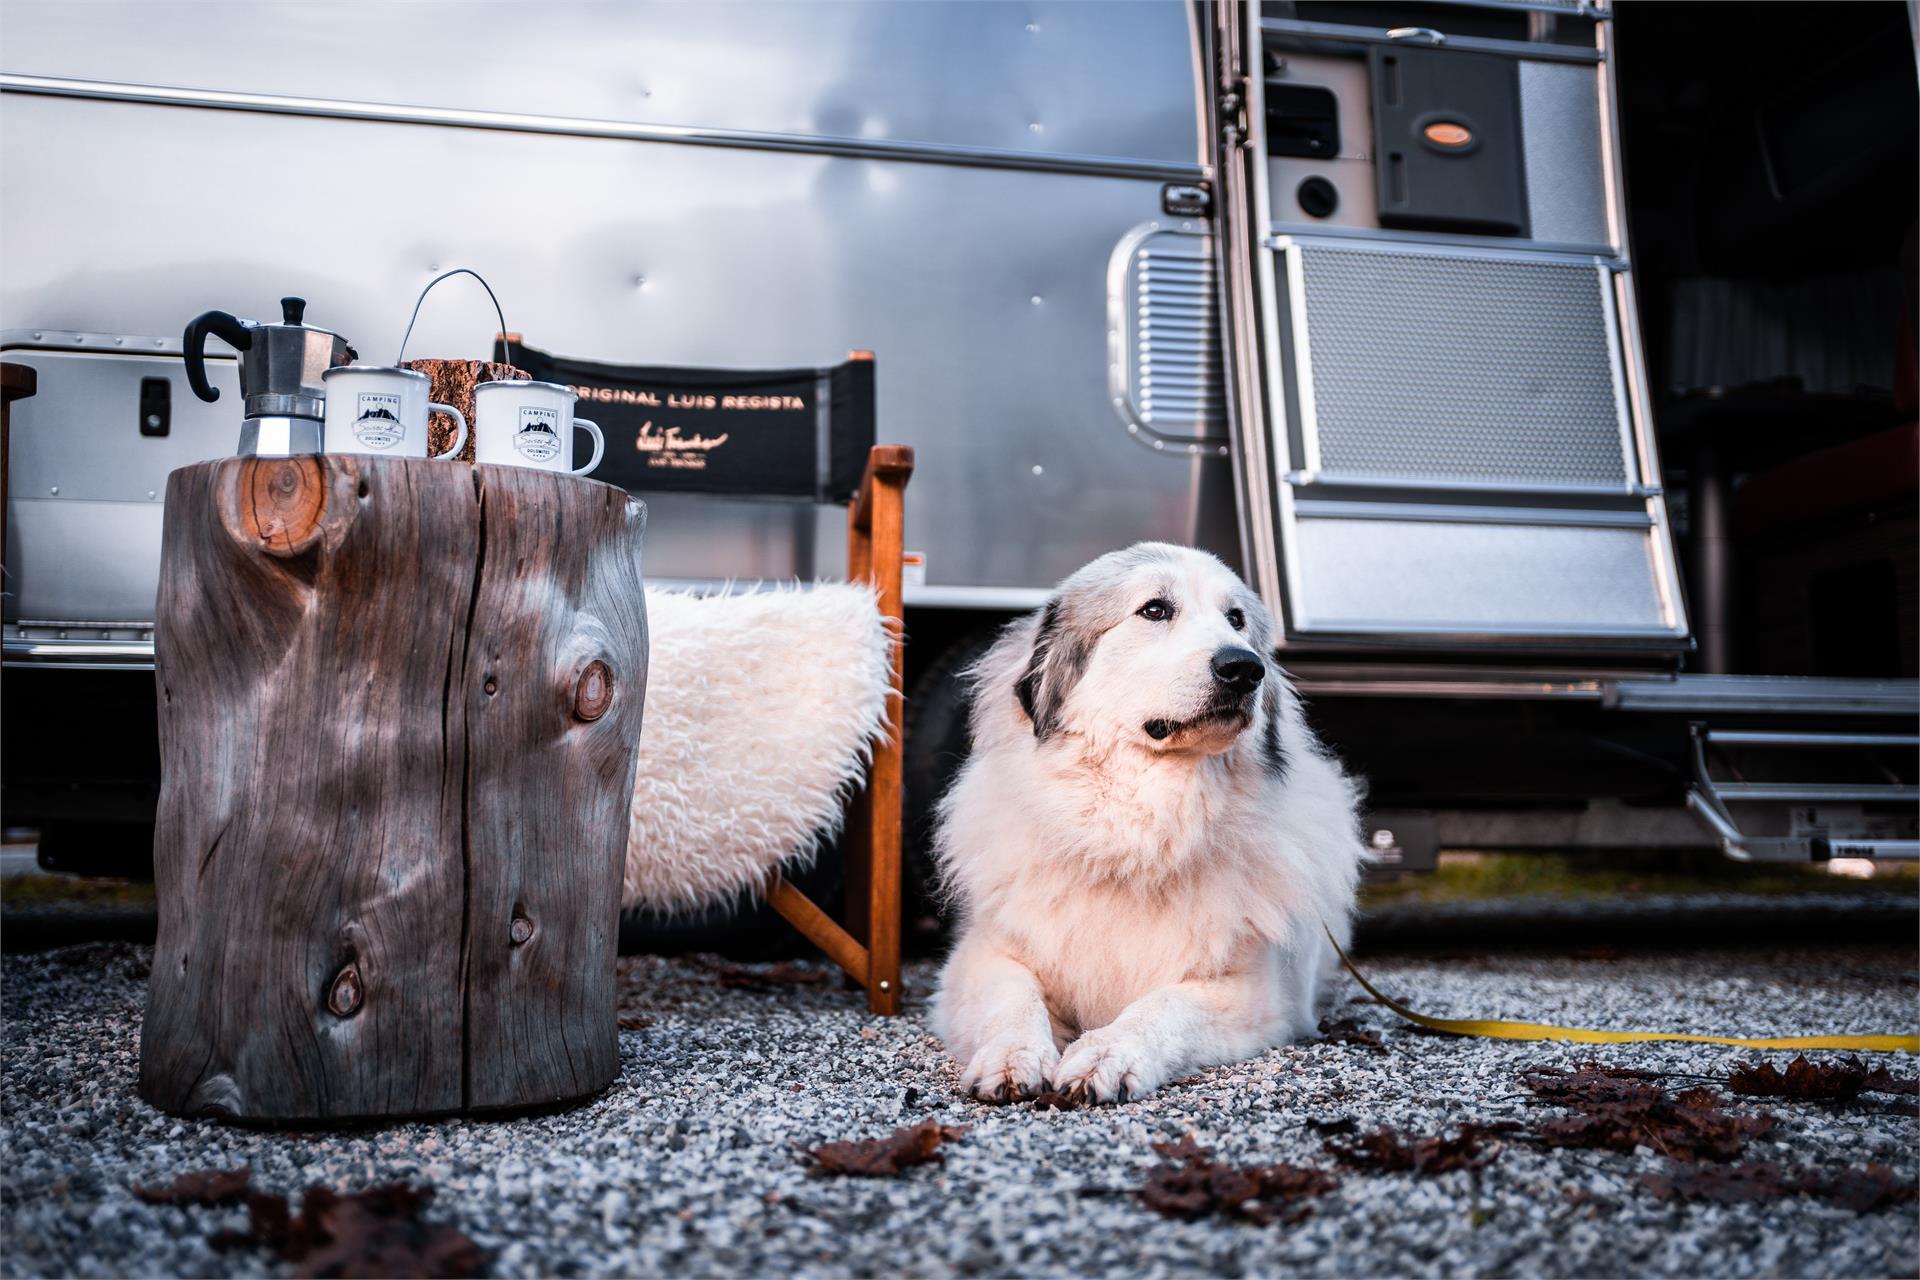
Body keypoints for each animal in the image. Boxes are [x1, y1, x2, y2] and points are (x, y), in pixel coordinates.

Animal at [929, 541, 1367, 1105]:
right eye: (1155, 610)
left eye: (1236, 620)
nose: (1244, 668)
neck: (1139, 837)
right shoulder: (984, 957)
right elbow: (1013, 999)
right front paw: (1012, 1056)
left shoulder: (1250, 993)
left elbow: (1161, 1008)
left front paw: (1106, 1056)